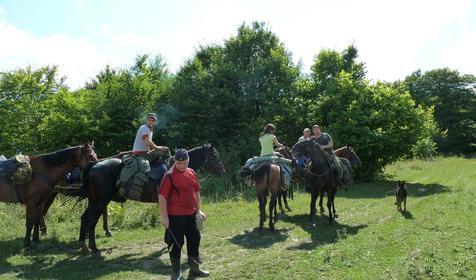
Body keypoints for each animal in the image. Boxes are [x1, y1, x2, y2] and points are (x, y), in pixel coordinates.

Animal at [57, 143, 225, 255]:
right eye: (215, 156)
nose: (223, 170)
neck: (176, 168)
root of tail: (94, 164)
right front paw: (169, 243)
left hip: (94, 200)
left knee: (84, 218)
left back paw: (83, 244)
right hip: (100, 201)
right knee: (92, 221)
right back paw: (93, 247)